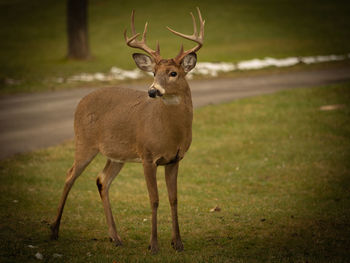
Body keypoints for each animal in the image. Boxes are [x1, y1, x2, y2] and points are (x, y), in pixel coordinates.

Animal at [50, 7, 205, 255]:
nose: (152, 91)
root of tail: (81, 101)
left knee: (102, 179)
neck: (170, 133)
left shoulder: (175, 159)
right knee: (70, 175)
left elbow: (173, 199)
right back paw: (54, 230)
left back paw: (115, 237)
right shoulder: (148, 156)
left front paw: (178, 243)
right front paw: (153, 245)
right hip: (84, 141)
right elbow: (154, 199)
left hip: (116, 154)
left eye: (173, 73)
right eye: (153, 73)